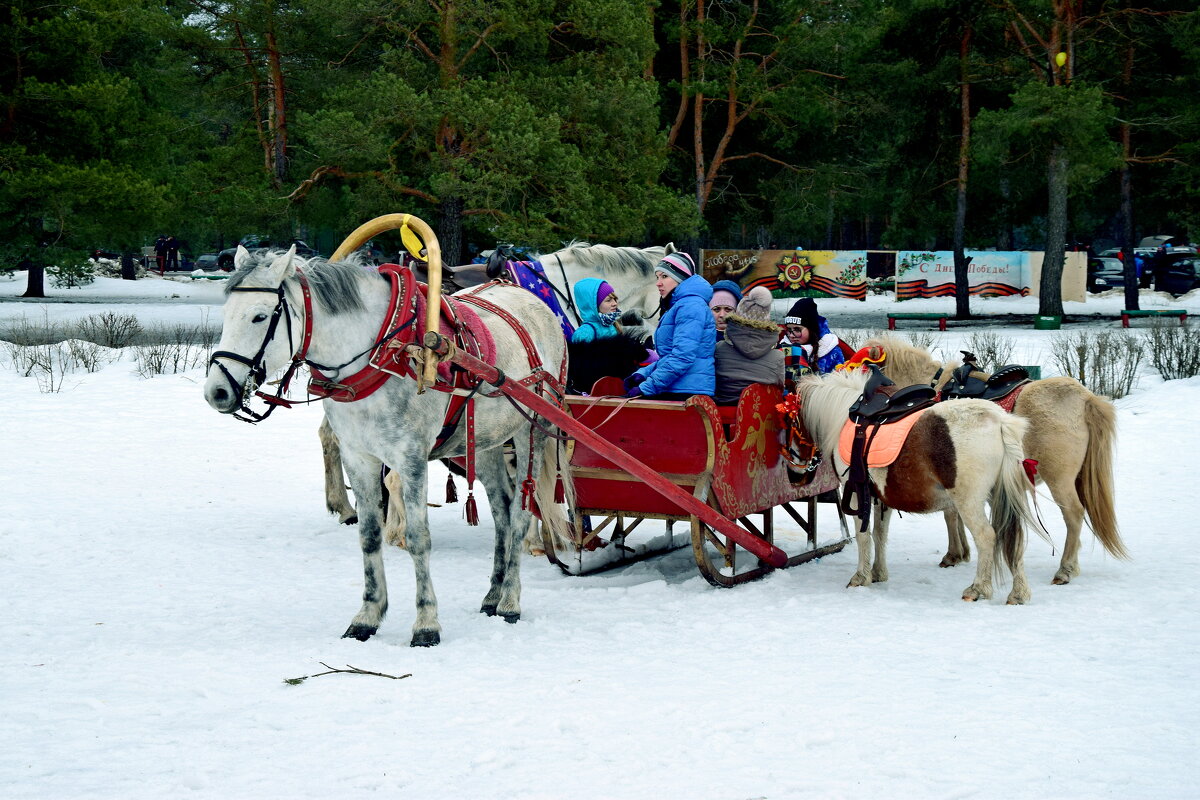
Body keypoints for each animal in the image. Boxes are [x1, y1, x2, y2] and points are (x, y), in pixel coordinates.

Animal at [204, 241, 573, 647]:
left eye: (259, 316)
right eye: (226, 313)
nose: (216, 391)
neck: (379, 353)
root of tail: (537, 305)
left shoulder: (411, 457)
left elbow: (418, 536)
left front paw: (426, 624)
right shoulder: (358, 455)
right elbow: (368, 535)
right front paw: (367, 616)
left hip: (532, 431)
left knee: (522, 513)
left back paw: (509, 601)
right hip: (486, 441)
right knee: (503, 513)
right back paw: (492, 595)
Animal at [796, 367, 1041, 604]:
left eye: (793, 424)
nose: (798, 474)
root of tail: (1000, 421)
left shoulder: (856, 492)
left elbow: (863, 535)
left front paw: (860, 577)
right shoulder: (880, 498)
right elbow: (879, 534)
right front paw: (877, 573)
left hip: (968, 501)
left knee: (986, 536)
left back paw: (978, 588)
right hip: (998, 496)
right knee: (1013, 538)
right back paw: (1018, 594)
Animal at [868, 335, 1128, 585]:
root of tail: (1085, 399)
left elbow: (950, 514)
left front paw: (954, 553)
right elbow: (955, 512)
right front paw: (962, 551)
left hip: (1059, 479)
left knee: (1073, 514)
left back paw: (1065, 570)